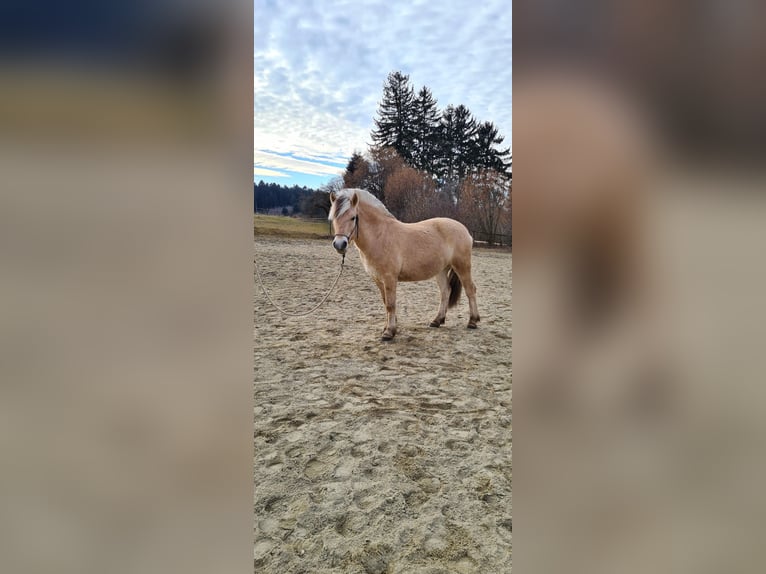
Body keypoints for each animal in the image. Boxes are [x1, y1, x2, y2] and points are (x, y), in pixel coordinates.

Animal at [328, 189, 480, 342]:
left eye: (353, 218)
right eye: (333, 218)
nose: (340, 245)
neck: (380, 236)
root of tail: (464, 229)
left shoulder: (389, 278)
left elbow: (390, 304)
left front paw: (389, 332)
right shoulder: (378, 279)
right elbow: (385, 303)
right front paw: (387, 327)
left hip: (462, 266)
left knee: (470, 290)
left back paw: (473, 321)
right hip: (442, 270)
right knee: (445, 291)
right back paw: (437, 321)